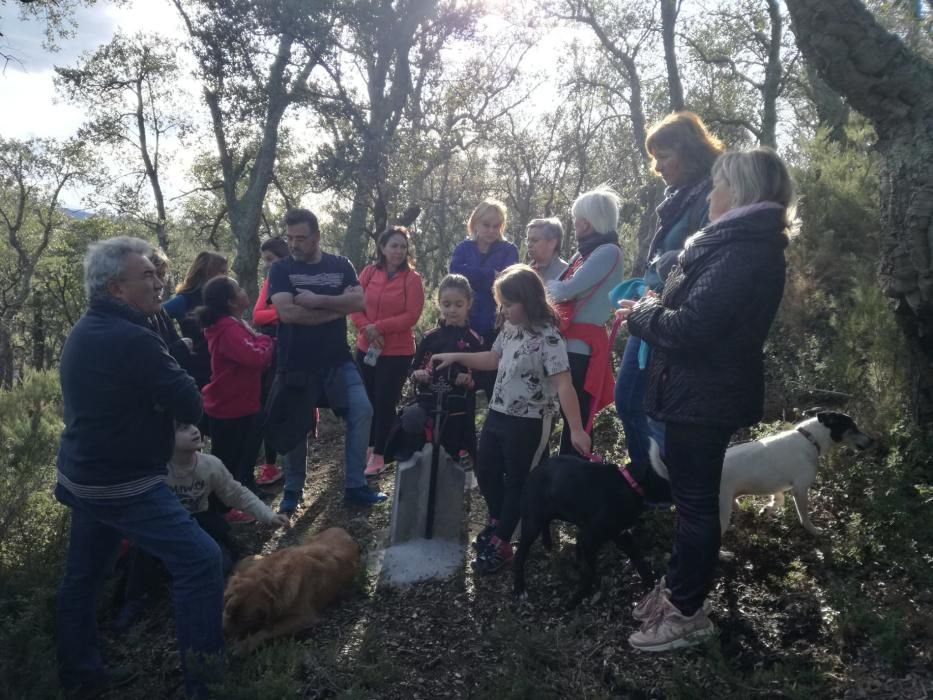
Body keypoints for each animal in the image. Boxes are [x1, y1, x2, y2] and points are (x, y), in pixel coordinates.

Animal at [222, 528, 360, 652]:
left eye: (245, 621)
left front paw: (246, 644)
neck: (269, 578)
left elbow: (270, 629)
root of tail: (342, 530)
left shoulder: (305, 617)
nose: (224, 636)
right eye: (228, 611)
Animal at [516, 454, 668, 608]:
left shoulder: (621, 535)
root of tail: (535, 470)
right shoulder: (592, 538)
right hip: (532, 524)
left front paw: (651, 587)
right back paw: (519, 588)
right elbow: (590, 572)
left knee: (547, 524)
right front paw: (576, 599)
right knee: (519, 555)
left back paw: (548, 543)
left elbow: (640, 561)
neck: (630, 486)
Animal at [648, 410, 872, 536]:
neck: (810, 439)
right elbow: (804, 517)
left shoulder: (778, 485)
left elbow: (778, 500)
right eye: (853, 427)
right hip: (718, 512)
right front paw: (815, 531)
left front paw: (767, 509)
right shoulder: (800, 490)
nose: (871, 441)